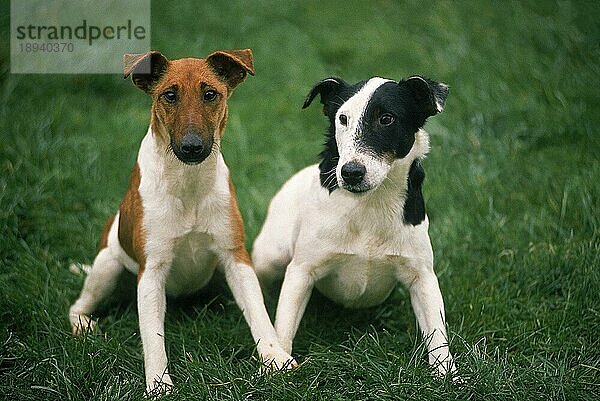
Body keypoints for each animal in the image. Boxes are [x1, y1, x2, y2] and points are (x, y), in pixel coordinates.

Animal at [69, 49, 294, 394]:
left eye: (210, 94)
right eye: (169, 95)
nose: (192, 147)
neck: (188, 183)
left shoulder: (236, 258)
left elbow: (258, 313)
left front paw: (276, 360)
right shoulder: (151, 271)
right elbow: (152, 338)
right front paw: (159, 385)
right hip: (106, 267)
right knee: (78, 305)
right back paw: (84, 326)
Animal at [252, 75, 454, 376]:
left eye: (386, 119)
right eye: (342, 118)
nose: (350, 173)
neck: (370, 203)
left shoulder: (422, 276)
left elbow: (437, 332)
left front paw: (448, 375)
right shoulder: (301, 271)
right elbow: (283, 326)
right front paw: (278, 365)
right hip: (271, 256)